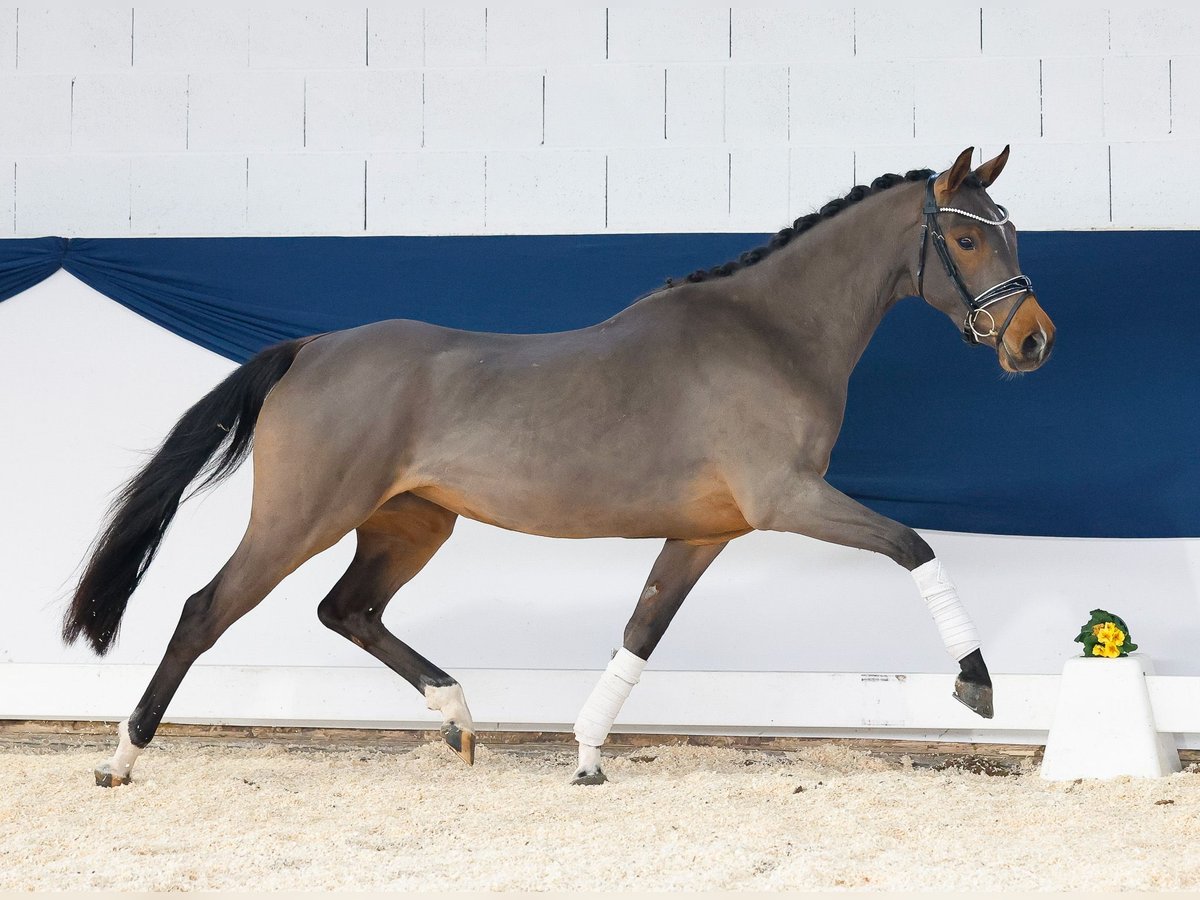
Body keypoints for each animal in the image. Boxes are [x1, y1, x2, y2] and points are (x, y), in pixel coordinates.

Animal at [65, 144, 1056, 787]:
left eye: (1011, 231)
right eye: (969, 239)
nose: (1033, 341)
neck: (770, 334)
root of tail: (310, 350)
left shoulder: (706, 532)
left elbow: (642, 629)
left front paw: (585, 756)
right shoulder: (787, 499)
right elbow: (914, 544)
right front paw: (976, 684)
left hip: (410, 523)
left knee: (345, 610)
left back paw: (460, 721)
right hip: (300, 518)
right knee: (205, 611)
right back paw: (121, 758)